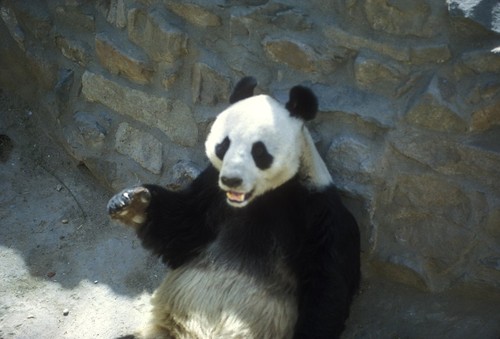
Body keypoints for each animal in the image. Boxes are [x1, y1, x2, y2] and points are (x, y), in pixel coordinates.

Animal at [108, 77, 360, 339]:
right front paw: (130, 201)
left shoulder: (317, 210)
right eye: (223, 146)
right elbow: (181, 228)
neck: (258, 199)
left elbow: (326, 285)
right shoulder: (212, 191)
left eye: (259, 151)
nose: (231, 180)